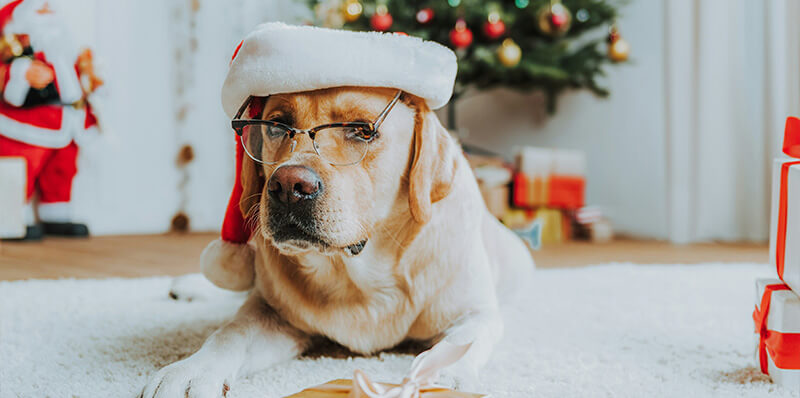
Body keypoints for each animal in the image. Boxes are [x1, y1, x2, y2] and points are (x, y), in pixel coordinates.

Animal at [141, 87, 536, 398]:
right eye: (276, 125)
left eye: (360, 130)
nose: (289, 187)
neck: (361, 276)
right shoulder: (273, 316)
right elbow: (230, 333)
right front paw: (189, 370)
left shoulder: (476, 314)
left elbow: (457, 343)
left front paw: (436, 374)